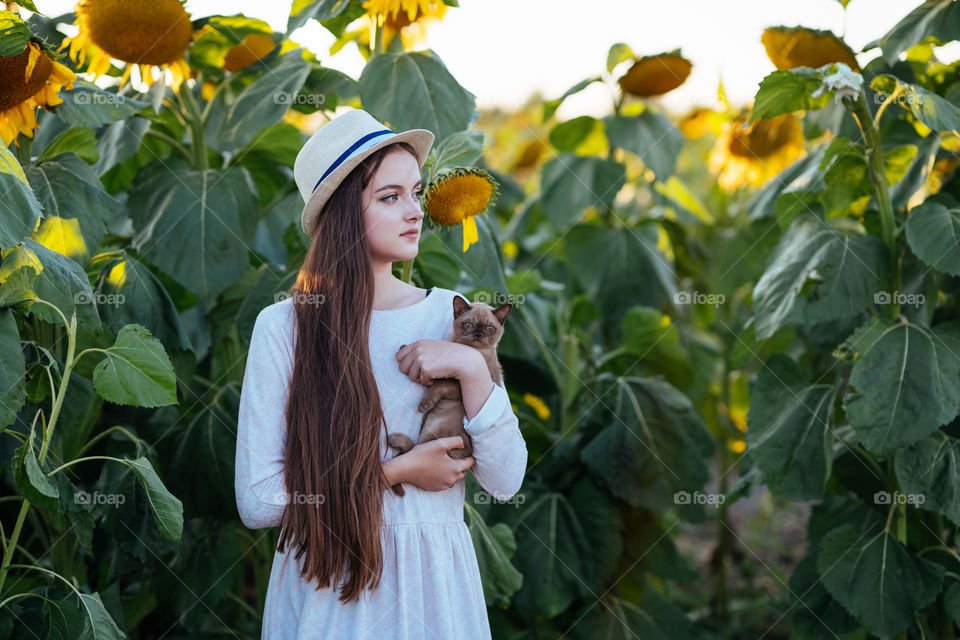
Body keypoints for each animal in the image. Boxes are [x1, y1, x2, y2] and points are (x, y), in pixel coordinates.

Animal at [386, 294, 512, 496]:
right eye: (469, 324)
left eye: (488, 328)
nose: (478, 334)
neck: (459, 346)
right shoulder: (433, 375)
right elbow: (429, 378)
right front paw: (404, 349)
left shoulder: (454, 385)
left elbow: (438, 386)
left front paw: (424, 405)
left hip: (433, 436)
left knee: (413, 450)